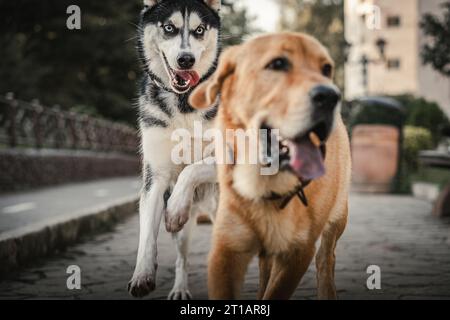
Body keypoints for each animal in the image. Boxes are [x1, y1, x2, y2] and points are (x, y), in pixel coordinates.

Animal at [190, 32, 352, 300]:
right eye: (278, 64)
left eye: (326, 69)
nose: (331, 96)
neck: (266, 183)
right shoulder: (227, 250)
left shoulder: (298, 253)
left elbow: (277, 289)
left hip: (337, 219)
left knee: (326, 258)